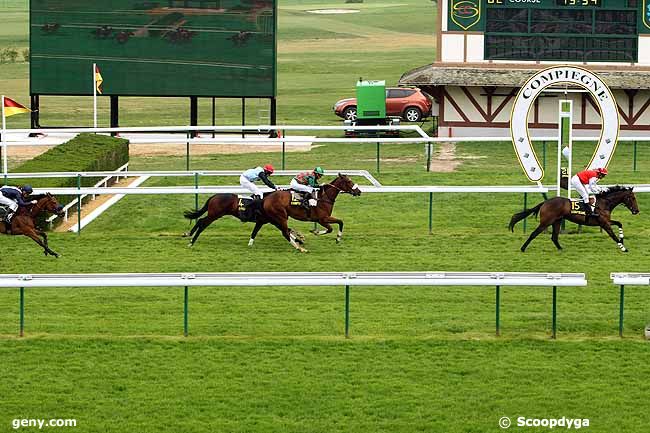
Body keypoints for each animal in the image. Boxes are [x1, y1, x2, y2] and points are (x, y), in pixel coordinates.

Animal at [185, 173, 362, 251]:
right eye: (348, 181)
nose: (359, 191)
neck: (323, 198)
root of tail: (214, 196)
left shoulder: (265, 220)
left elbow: (339, 223)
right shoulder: (322, 218)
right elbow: (334, 226)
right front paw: (324, 235)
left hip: (275, 217)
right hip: (216, 214)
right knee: (202, 222)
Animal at [506, 186, 636, 253]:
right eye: (632, 198)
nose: (636, 211)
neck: (604, 203)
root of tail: (545, 202)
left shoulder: (606, 221)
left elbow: (619, 223)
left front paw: (622, 240)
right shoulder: (603, 223)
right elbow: (613, 235)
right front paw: (623, 247)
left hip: (557, 221)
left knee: (554, 237)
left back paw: (561, 249)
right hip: (546, 222)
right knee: (534, 234)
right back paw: (523, 248)